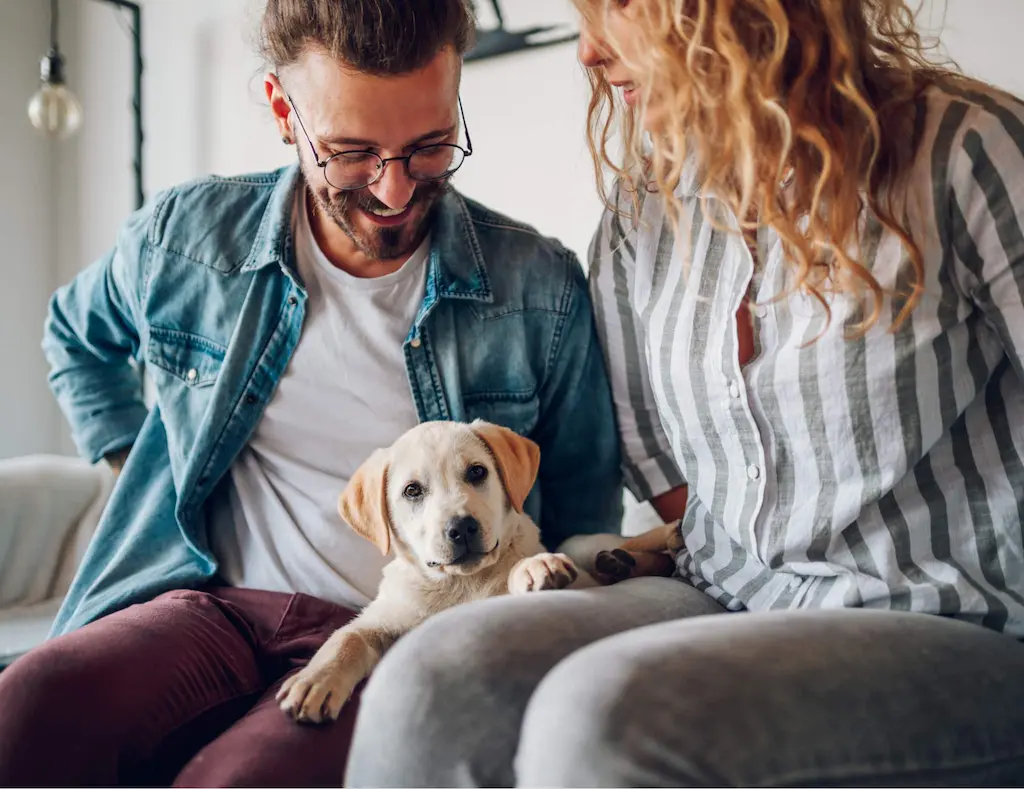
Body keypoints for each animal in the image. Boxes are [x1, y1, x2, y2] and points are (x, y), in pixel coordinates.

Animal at [280, 419, 589, 728]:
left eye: (477, 471)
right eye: (412, 491)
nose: (462, 527)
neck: (459, 583)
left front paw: (535, 566)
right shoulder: (381, 618)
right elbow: (347, 638)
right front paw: (315, 680)